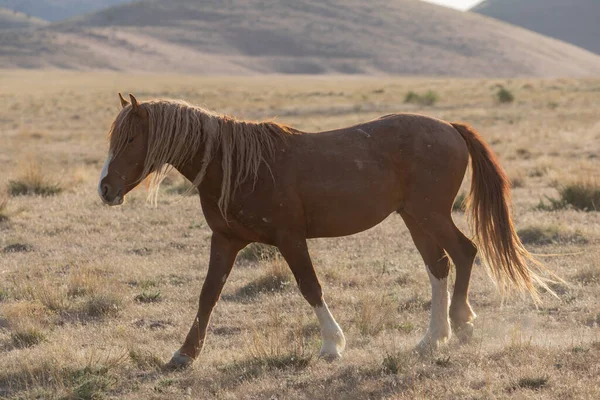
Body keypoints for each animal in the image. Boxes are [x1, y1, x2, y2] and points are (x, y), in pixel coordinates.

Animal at [98, 92, 552, 368]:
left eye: (132, 139)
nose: (105, 188)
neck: (237, 166)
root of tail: (450, 127)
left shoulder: (290, 240)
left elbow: (310, 287)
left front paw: (333, 344)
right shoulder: (226, 241)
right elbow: (208, 295)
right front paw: (185, 353)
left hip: (430, 214)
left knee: (463, 253)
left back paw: (460, 324)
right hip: (415, 217)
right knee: (438, 266)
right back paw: (432, 338)